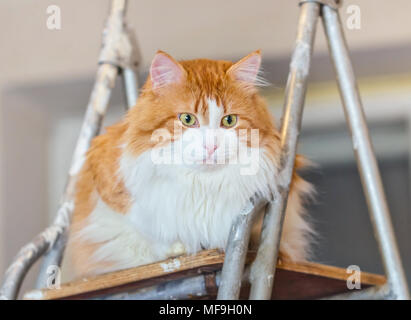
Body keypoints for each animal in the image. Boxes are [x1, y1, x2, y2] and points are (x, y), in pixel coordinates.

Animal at [67, 50, 314, 278]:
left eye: (229, 120)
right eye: (187, 119)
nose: (211, 146)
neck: (201, 185)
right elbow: (146, 231)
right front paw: (177, 247)